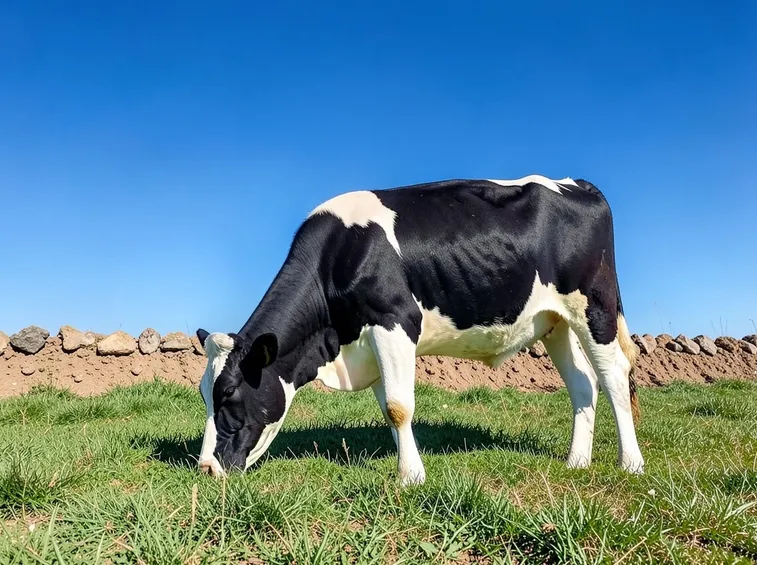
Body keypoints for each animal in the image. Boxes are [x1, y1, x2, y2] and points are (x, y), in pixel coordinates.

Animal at [195, 174, 644, 485]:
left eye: (229, 395)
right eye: (204, 393)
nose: (205, 468)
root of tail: (577, 183)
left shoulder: (394, 320)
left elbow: (399, 406)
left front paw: (410, 477)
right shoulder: (371, 342)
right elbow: (388, 408)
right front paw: (408, 464)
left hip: (594, 306)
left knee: (614, 376)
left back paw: (631, 463)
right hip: (555, 322)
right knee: (584, 382)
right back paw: (576, 462)